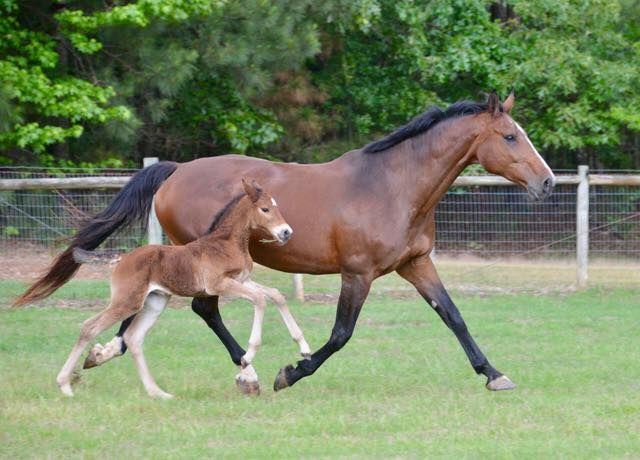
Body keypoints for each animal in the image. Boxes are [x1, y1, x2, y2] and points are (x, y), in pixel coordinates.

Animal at [55, 180, 308, 398]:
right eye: (265, 209)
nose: (286, 232)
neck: (226, 243)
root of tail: (120, 260)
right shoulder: (218, 284)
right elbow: (259, 299)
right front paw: (248, 356)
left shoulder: (242, 280)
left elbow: (275, 295)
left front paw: (304, 348)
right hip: (127, 301)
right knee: (89, 327)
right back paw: (64, 384)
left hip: (154, 301)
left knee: (133, 337)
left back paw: (158, 393)